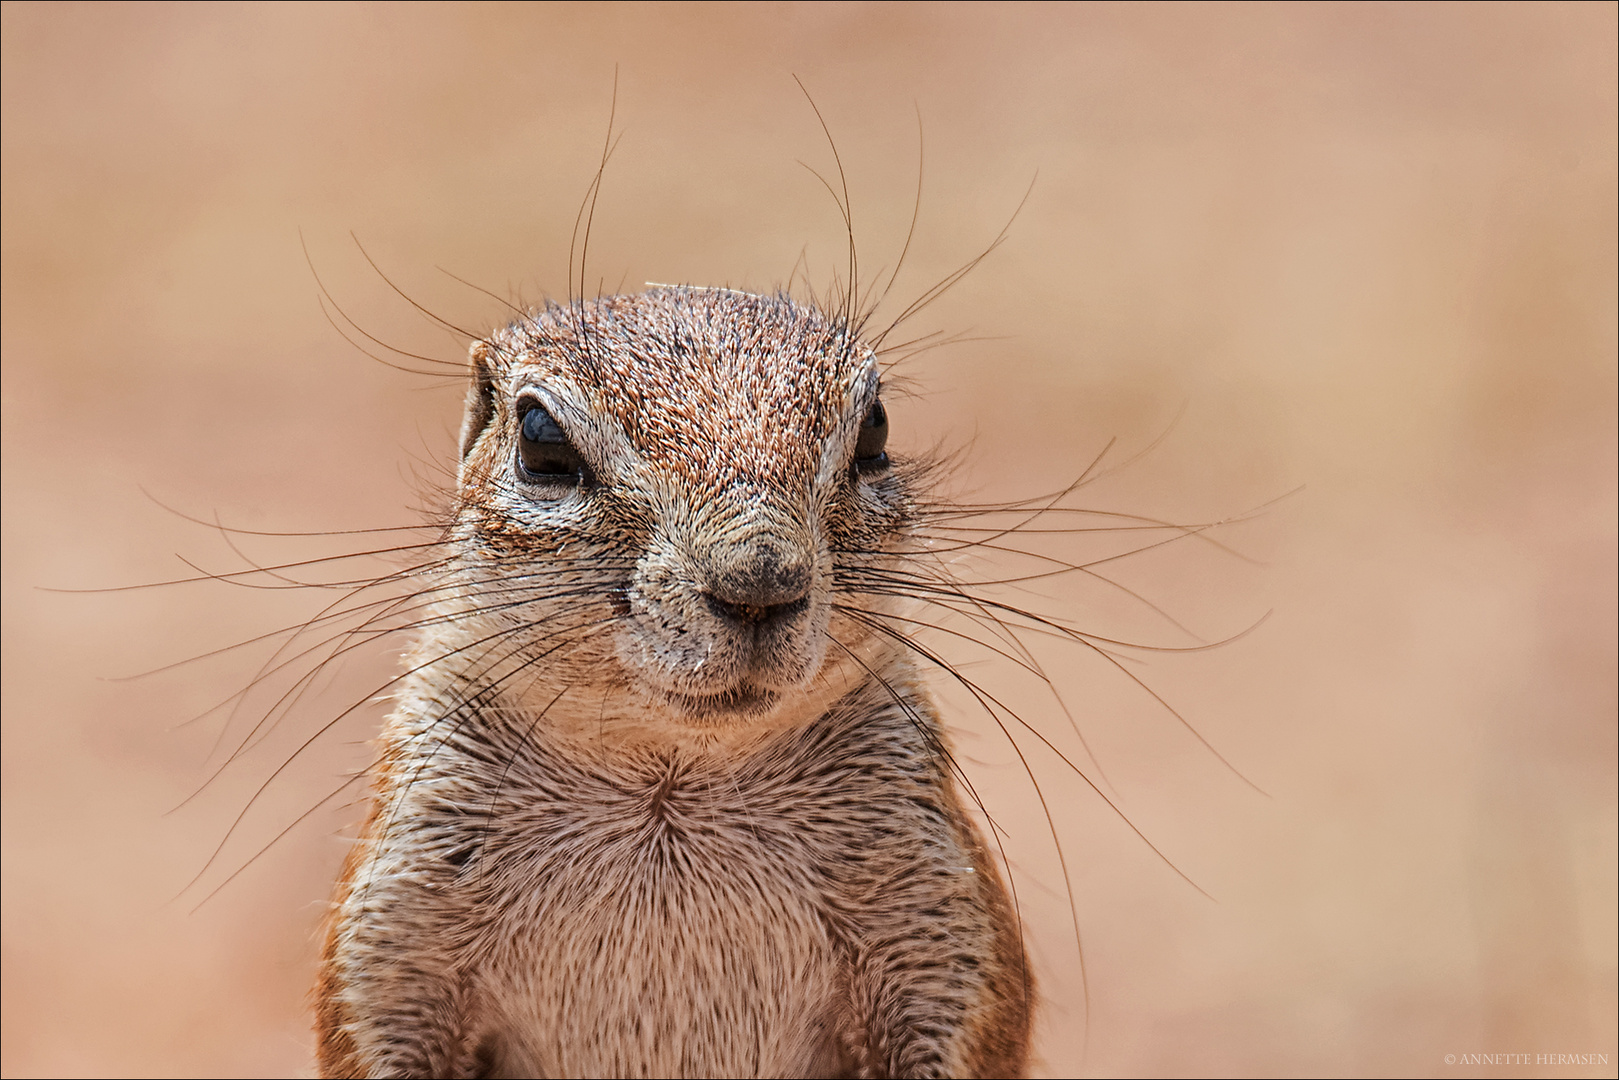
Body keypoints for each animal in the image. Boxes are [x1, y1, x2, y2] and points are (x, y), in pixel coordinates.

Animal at [309, 283, 1029, 1075]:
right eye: (540, 439)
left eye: (875, 430)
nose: (760, 580)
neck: (669, 776)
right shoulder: (396, 927)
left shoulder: (938, 923)